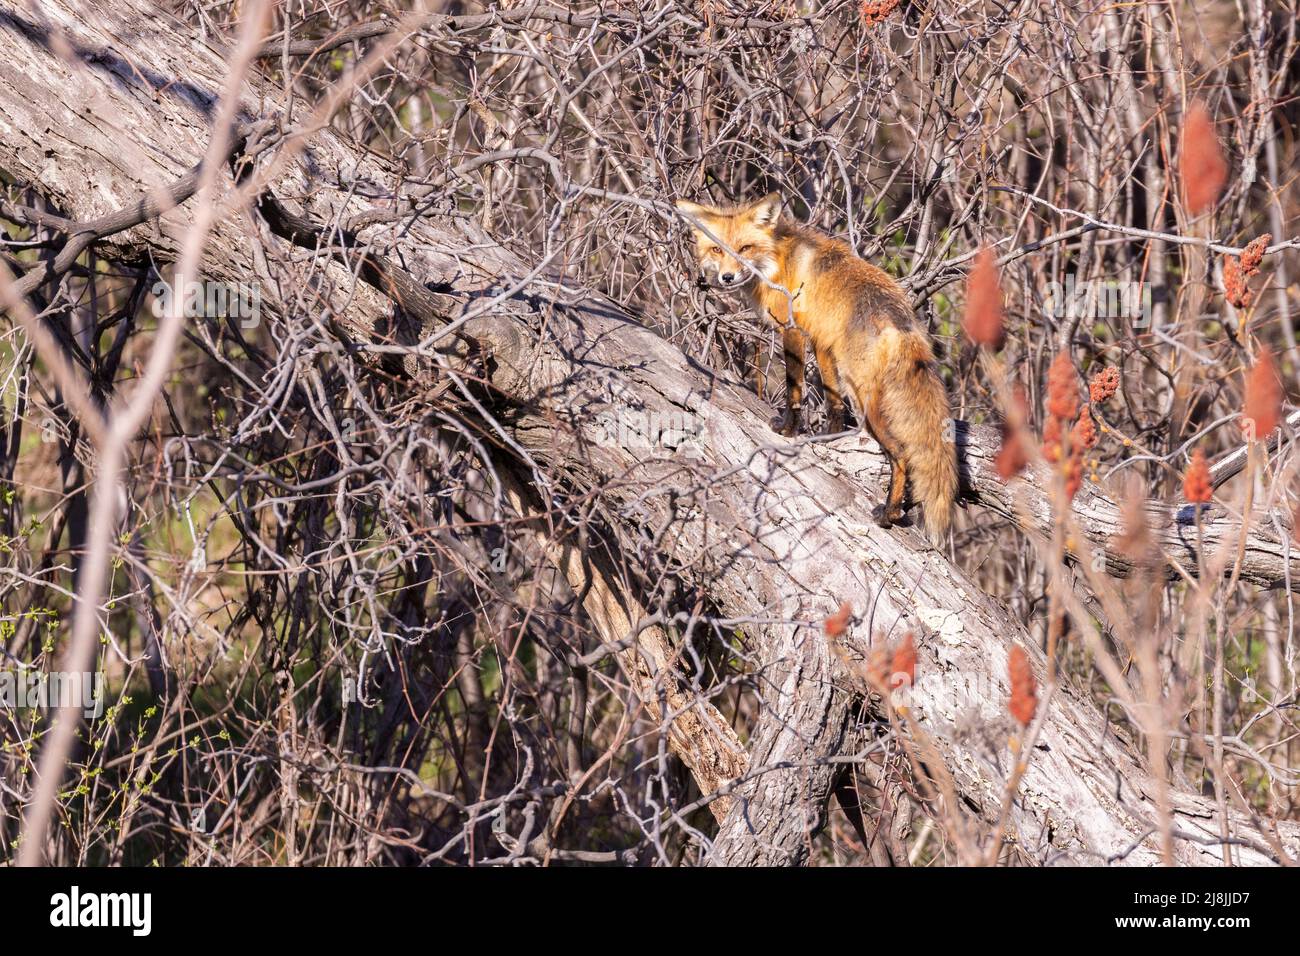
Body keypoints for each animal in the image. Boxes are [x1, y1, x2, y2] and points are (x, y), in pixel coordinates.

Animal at [676, 191, 958, 544]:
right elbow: (831, 399)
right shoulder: (823, 342)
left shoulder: (792, 328)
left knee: (901, 453)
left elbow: (794, 387)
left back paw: (890, 513)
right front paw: (828, 436)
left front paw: (788, 430)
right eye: (717, 249)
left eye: (745, 248)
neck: (777, 260)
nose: (727, 277)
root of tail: (901, 322)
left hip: (864, 397)